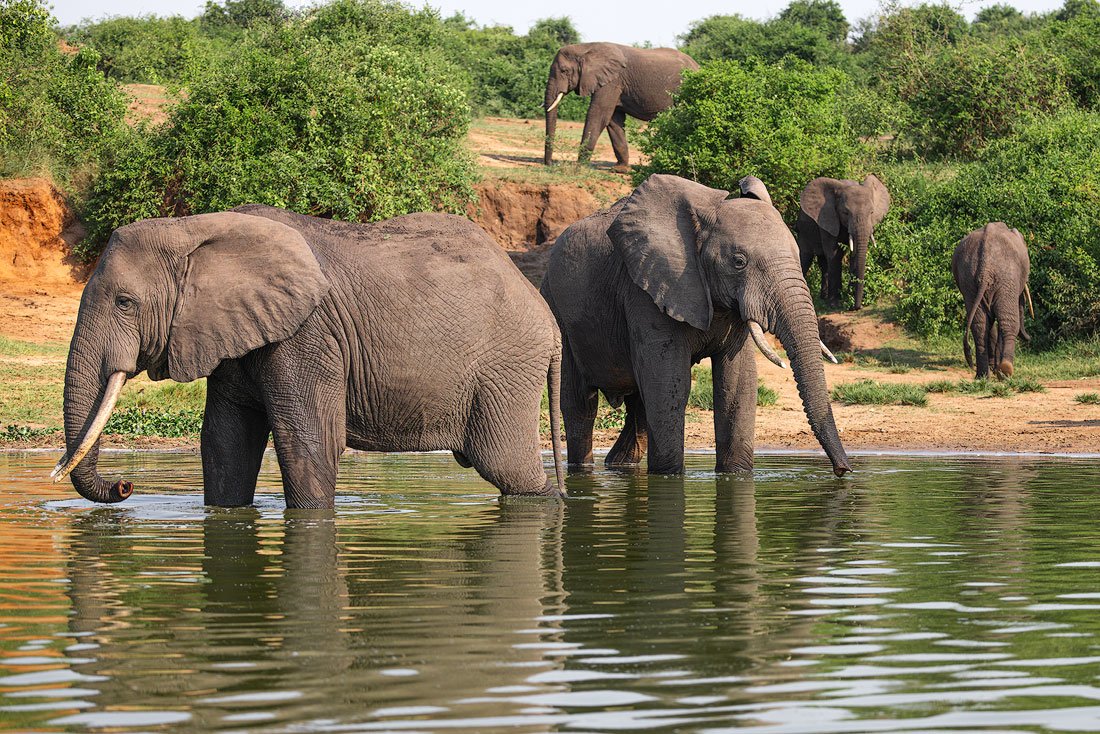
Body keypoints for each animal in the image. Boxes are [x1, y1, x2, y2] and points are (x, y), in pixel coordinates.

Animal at [51, 206, 565, 508]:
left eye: (125, 303)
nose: (125, 485)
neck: (197, 228)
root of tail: (549, 319)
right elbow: (225, 441)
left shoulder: (308, 335)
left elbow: (308, 442)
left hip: (506, 368)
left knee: (508, 467)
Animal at [539, 174, 851, 477]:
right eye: (738, 262)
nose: (842, 470)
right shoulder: (644, 291)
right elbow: (669, 383)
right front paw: (668, 477)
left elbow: (737, 383)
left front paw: (735, 475)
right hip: (556, 308)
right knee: (581, 405)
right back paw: (582, 470)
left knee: (639, 406)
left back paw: (619, 466)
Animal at [543, 42, 698, 170]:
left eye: (564, 71)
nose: (550, 164)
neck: (585, 47)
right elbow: (613, 120)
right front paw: (620, 169)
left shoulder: (612, 81)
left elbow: (598, 114)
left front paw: (579, 167)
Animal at [796, 174, 891, 310]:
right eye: (845, 213)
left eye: (872, 212)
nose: (857, 307)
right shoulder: (826, 218)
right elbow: (834, 254)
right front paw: (835, 304)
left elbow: (854, 255)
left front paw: (849, 299)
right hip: (804, 229)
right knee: (805, 257)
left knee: (823, 263)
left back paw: (824, 297)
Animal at [952, 222, 1034, 379]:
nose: (1029, 337)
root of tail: (986, 269)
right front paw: (997, 369)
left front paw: (994, 368)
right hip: (1006, 278)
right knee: (1008, 322)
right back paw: (1006, 371)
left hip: (969, 281)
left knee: (979, 325)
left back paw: (983, 376)